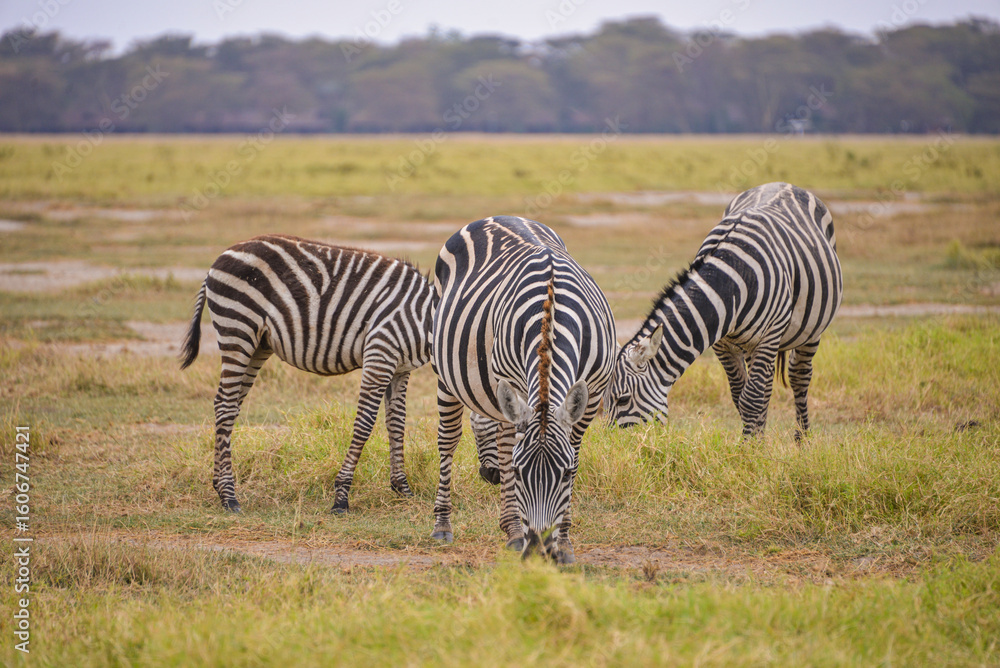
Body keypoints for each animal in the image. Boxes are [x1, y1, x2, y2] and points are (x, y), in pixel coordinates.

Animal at [179, 233, 448, 513]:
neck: (424, 319)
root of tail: (219, 259)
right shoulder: (380, 354)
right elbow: (364, 424)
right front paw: (341, 497)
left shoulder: (399, 368)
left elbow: (397, 423)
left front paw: (402, 489)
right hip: (238, 329)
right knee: (225, 406)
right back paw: (229, 497)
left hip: (257, 345)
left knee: (226, 404)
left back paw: (219, 485)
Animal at [431, 216, 617, 563]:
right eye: (519, 474)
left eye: (566, 474)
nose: (538, 550)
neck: (551, 312)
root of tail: (497, 217)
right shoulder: (513, 382)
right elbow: (508, 453)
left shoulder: (593, 394)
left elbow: (574, 450)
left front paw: (564, 542)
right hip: (446, 372)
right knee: (450, 441)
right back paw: (446, 525)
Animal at [606, 182, 843, 439]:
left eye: (623, 399)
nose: (617, 445)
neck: (730, 285)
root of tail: (783, 184)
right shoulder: (722, 343)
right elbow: (741, 395)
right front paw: (757, 442)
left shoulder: (769, 336)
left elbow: (752, 399)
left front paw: (749, 447)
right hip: (750, 343)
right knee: (766, 387)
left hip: (811, 330)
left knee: (799, 376)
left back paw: (802, 441)